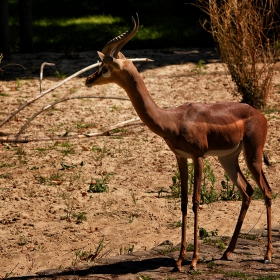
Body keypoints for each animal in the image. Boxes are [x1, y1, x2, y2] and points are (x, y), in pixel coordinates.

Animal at [86, 14, 274, 270]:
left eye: (105, 67)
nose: (88, 79)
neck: (173, 120)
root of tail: (259, 114)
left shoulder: (199, 156)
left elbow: (195, 201)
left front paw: (193, 261)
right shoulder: (181, 157)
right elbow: (183, 202)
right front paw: (179, 259)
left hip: (253, 155)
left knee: (267, 191)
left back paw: (267, 254)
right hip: (228, 158)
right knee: (247, 191)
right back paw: (227, 252)